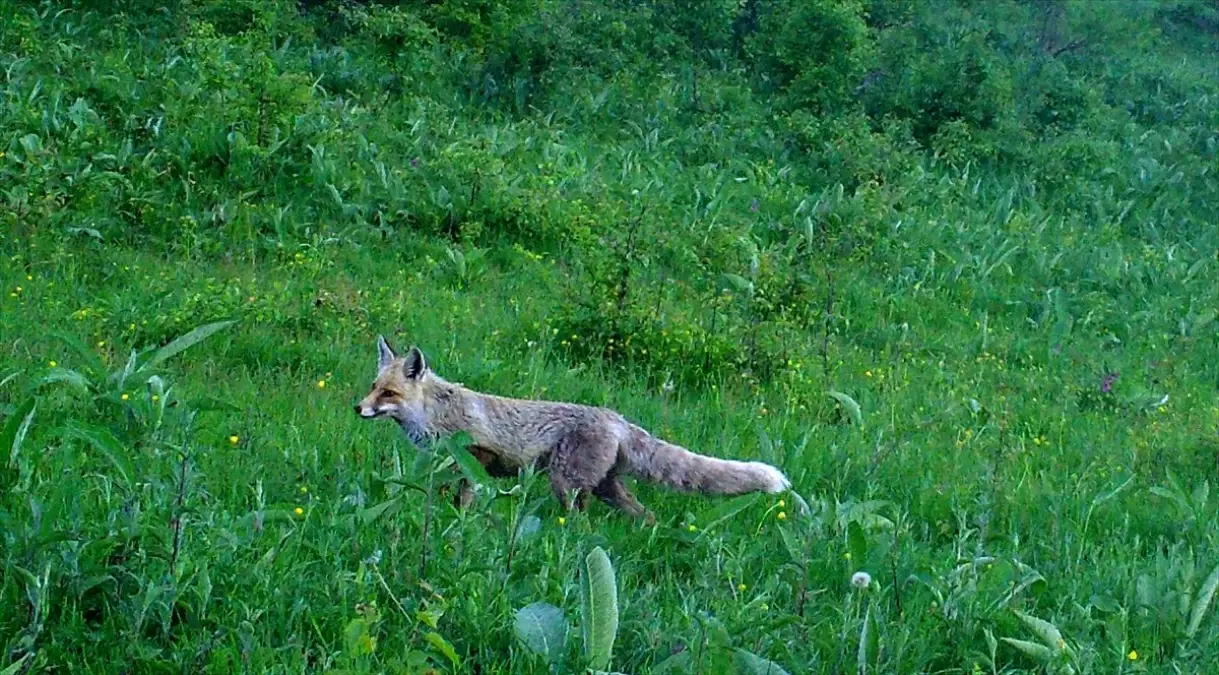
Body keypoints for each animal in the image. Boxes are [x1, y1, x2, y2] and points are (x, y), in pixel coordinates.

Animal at [353, 333, 789, 516]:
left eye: (388, 393)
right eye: (373, 387)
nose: (358, 408)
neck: (434, 414)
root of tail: (616, 418)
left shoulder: (474, 457)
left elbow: (466, 500)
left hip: (566, 484)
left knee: (577, 521)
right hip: (605, 488)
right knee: (643, 513)